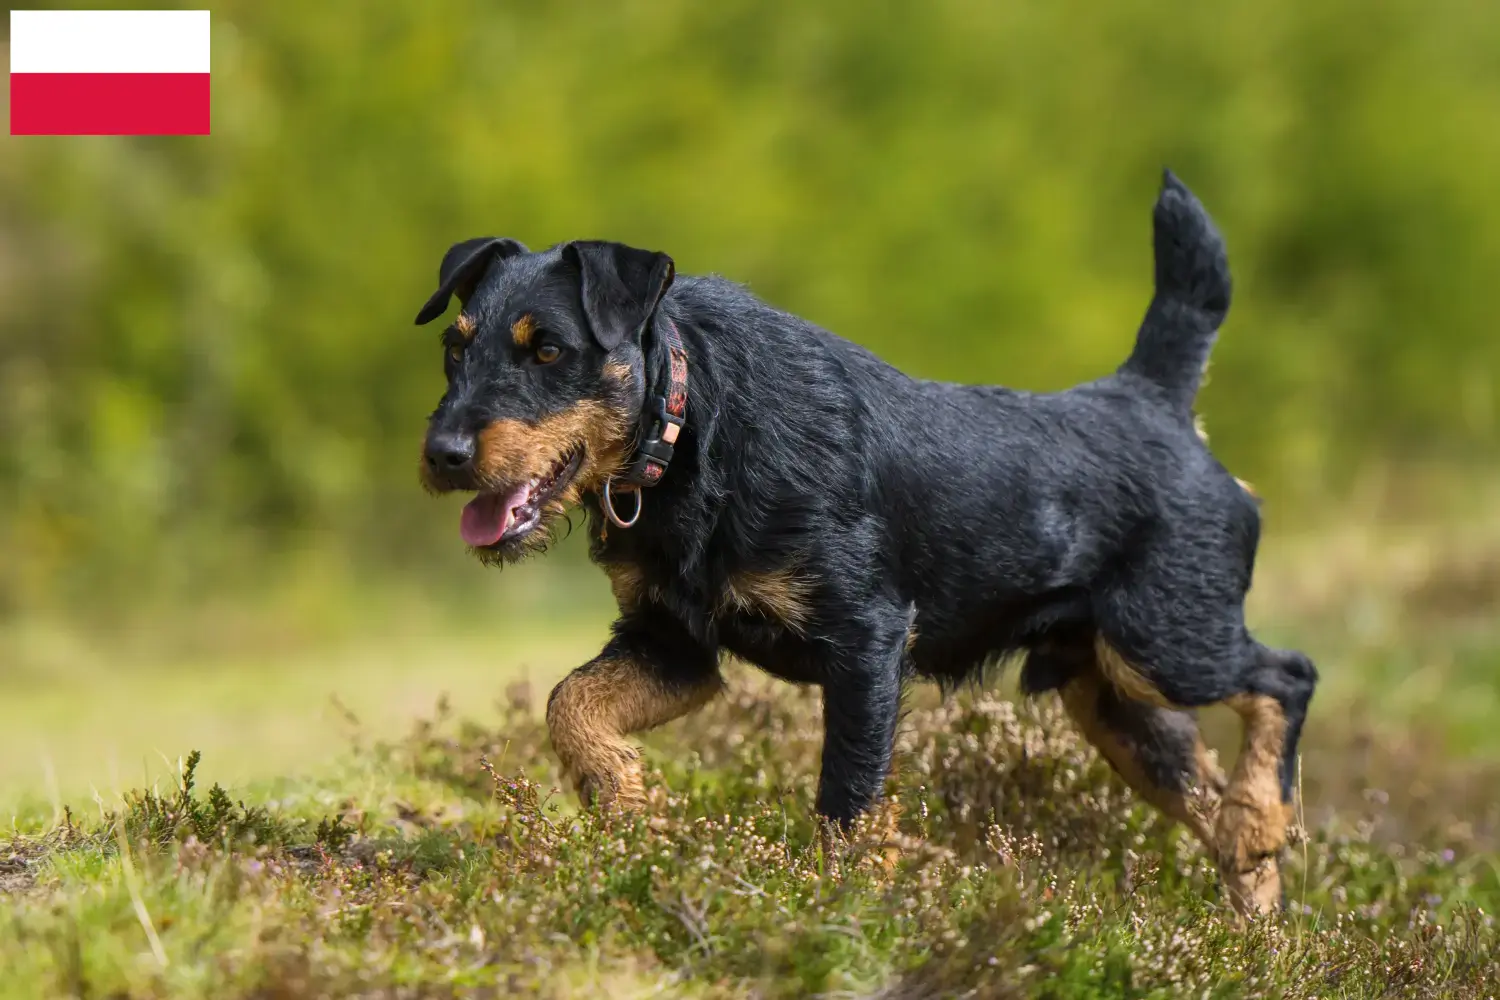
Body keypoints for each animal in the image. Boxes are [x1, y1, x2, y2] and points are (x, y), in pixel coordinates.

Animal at [414, 170, 1314, 917]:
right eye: (454, 347)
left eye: (548, 349)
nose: (443, 454)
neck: (691, 426)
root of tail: (1154, 398)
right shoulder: (673, 644)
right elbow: (571, 702)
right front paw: (626, 804)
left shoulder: (865, 641)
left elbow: (846, 798)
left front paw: (837, 910)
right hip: (1113, 700)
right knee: (1205, 787)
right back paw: (1253, 902)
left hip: (1166, 643)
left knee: (1287, 675)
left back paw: (1258, 822)